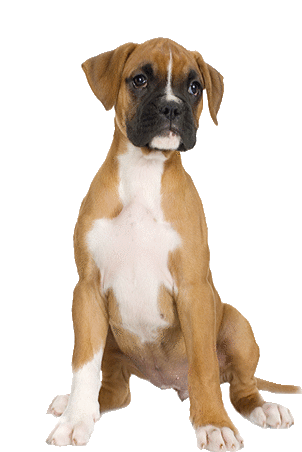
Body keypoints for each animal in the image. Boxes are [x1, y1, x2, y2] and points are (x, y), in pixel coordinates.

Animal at [46, 38, 300, 448]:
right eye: (139, 80)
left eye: (194, 87)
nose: (171, 107)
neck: (143, 173)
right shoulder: (87, 292)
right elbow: (83, 366)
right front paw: (75, 421)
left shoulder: (193, 290)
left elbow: (204, 366)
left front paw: (213, 423)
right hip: (113, 343)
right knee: (115, 391)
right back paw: (76, 405)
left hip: (237, 324)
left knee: (240, 386)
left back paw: (263, 410)